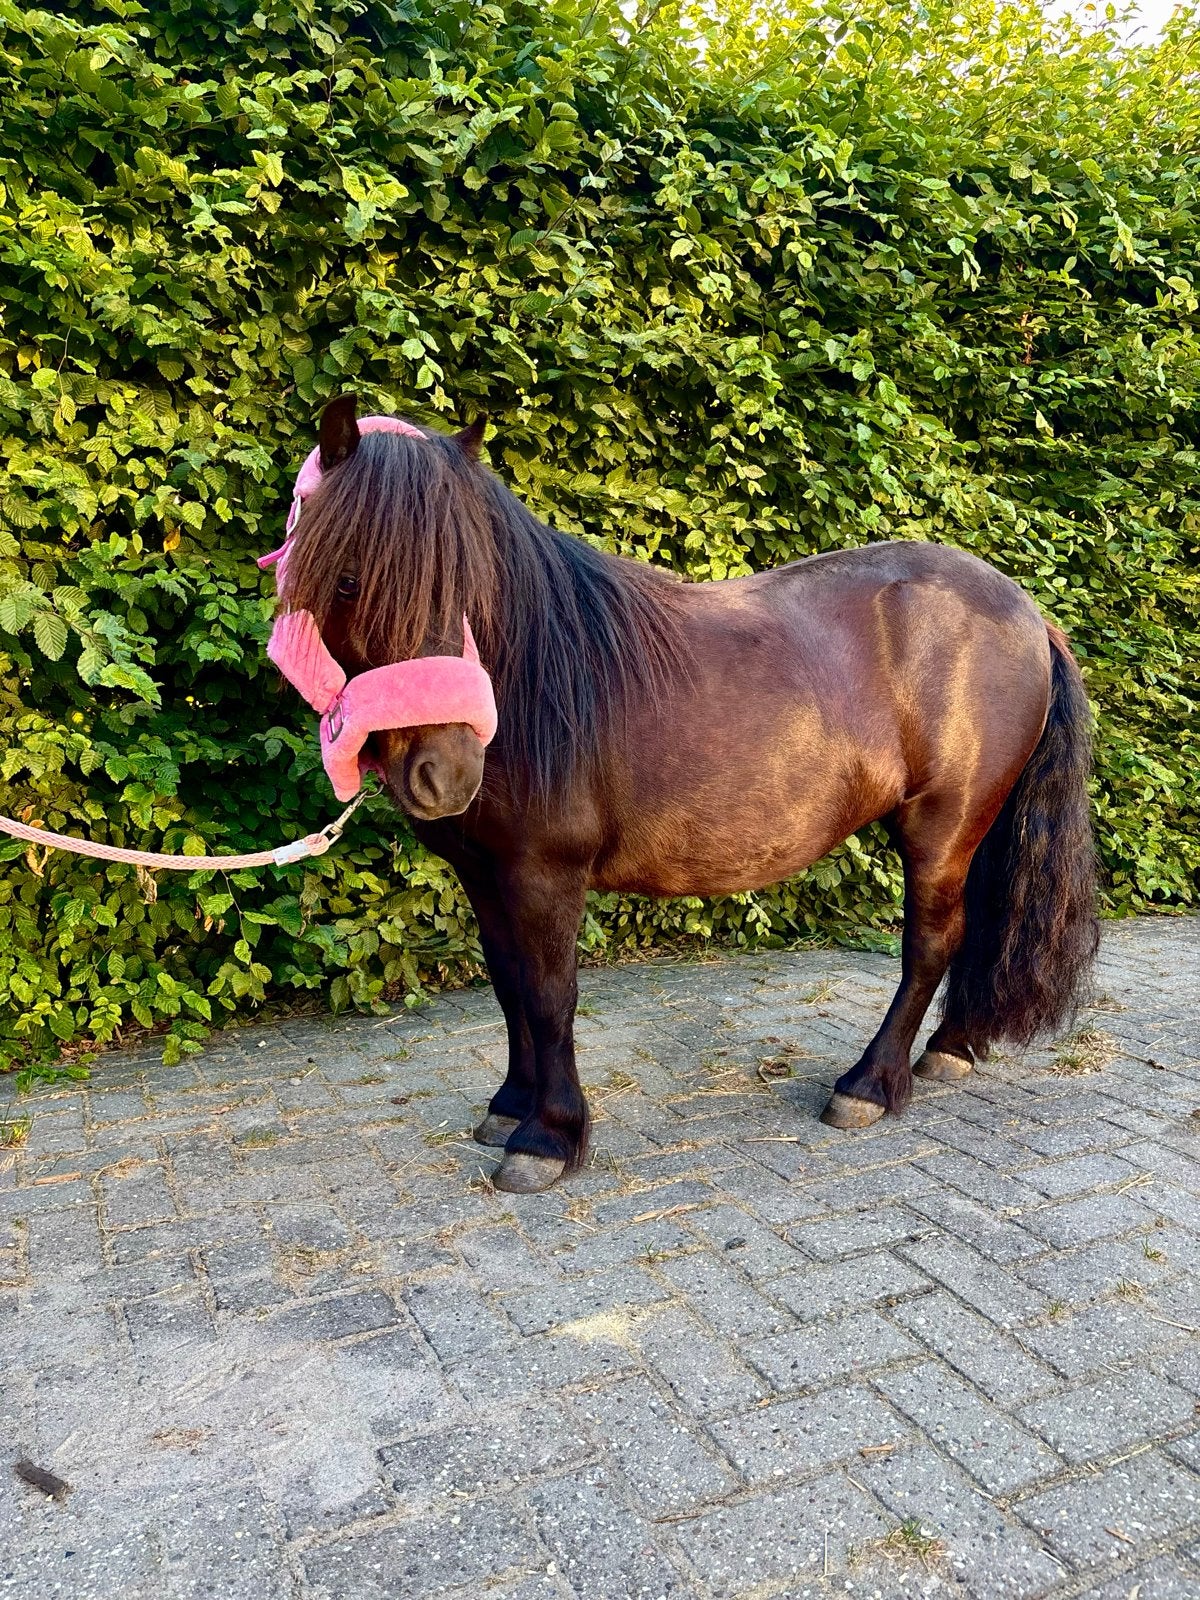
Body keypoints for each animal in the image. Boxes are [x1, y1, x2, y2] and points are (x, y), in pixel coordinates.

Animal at [278, 395, 1098, 1193]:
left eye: (468, 587)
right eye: (347, 580)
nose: (445, 772)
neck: (537, 678)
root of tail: (1026, 611)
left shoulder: (545, 873)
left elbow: (549, 995)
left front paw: (548, 1137)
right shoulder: (484, 871)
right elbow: (509, 985)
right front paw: (509, 1106)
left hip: (942, 825)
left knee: (931, 941)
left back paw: (868, 1084)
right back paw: (951, 1048)